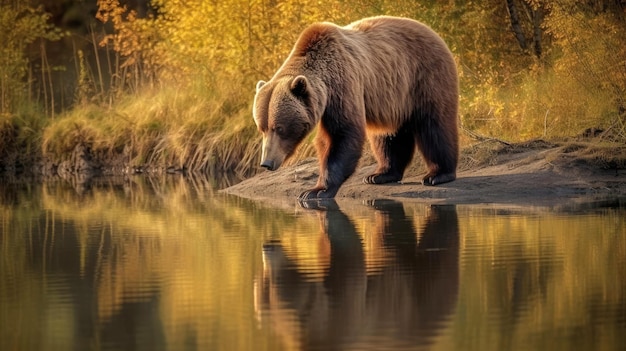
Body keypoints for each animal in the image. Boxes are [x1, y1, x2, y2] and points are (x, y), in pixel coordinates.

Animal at [251, 15, 456, 201]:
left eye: (279, 128)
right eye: (262, 128)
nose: (266, 163)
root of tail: (433, 32)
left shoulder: (343, 85)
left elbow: (343, 134)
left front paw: (316, 190)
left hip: (425, 77)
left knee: (434, 126)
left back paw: (438, 175)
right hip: (394, 98)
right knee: (388, 135)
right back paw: (382, 174)